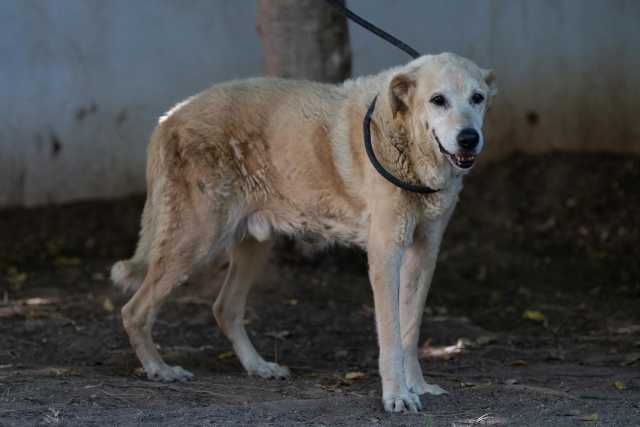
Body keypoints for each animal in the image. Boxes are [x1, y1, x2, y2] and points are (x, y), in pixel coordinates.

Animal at [112, 51, 498, 412]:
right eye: (438, 100)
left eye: (478, 98)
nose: (469, 138)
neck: (406, 142)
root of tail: (170, 116)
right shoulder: (386, 254)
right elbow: (390, 336)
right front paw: (397, 396)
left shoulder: (424, 252)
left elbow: (409, 331)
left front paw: (417, 386)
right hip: (195, 242)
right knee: (134, 311)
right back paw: (159, 369)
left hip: (253, 245)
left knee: (225, 308)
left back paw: (259, 367)